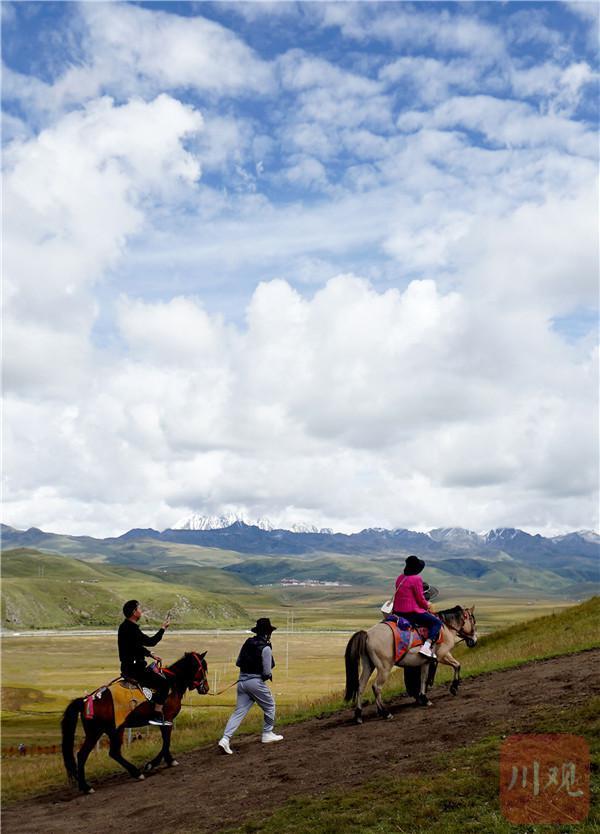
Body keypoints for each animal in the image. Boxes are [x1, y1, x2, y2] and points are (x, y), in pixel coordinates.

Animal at [61, 648, 209, 792]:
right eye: (203, 668)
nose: (206, 688)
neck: (172, 682)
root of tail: (87, 700)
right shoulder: (166, 720)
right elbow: (166, 742)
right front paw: (152, 764)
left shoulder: (165, 722)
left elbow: (166, 742)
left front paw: (168, 760)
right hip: (113, 730)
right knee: (110, 752)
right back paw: (134, 774)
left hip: (97, 732)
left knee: (85, 755)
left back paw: (85, 786)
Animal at [342, 604, 478, 720]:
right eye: (473, 621)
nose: (474, 641)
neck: (445, 627)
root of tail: (368, 634)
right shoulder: (442, 655)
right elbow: (457, 665)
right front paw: (454, 688)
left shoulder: (426, 662)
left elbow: (423, 679)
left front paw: (424, 698)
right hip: (384, 667)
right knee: (376, 687)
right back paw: (385, 712)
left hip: (368, 665)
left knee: (361, 686)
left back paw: (358, 715)